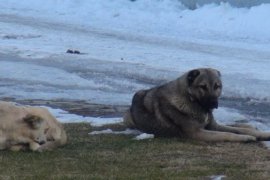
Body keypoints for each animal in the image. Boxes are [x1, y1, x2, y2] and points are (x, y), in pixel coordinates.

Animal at [124, 67, 270, 142]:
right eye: (203, 87)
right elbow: (227, 134)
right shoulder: (197, 133)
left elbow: (238, 129)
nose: (213, 103)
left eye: (217, 86)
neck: (191, 100)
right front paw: (246, 138)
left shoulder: (213, 126)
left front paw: (260, 134)